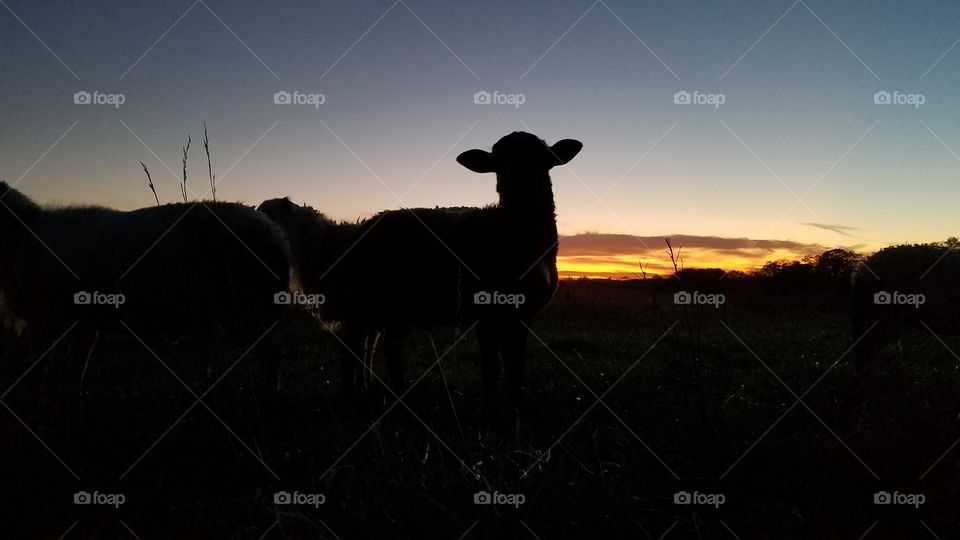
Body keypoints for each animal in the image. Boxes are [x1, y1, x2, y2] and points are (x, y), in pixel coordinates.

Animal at [0, 180, 290, 406]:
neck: (21, 234)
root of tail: (276, 235)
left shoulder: (45, 318)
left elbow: (38, 369)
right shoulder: (83, 321)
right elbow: (78, 365)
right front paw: (74, 401)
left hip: (242, 305)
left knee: (271, 352)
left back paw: (265, 401)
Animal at [261, 131, 582, 423]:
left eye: (543, 159)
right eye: (498, 162)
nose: (519, 189)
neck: (515, 231)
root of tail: (356, 231)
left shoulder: (521, 314)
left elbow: (515, 363)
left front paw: (513, 409)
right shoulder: (485, 310)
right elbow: (491, 366)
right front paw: (491, 414)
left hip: (390, 307)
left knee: (382, 346)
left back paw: (391, 396)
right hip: (370, 300)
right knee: (353, 348)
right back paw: (359, 400)